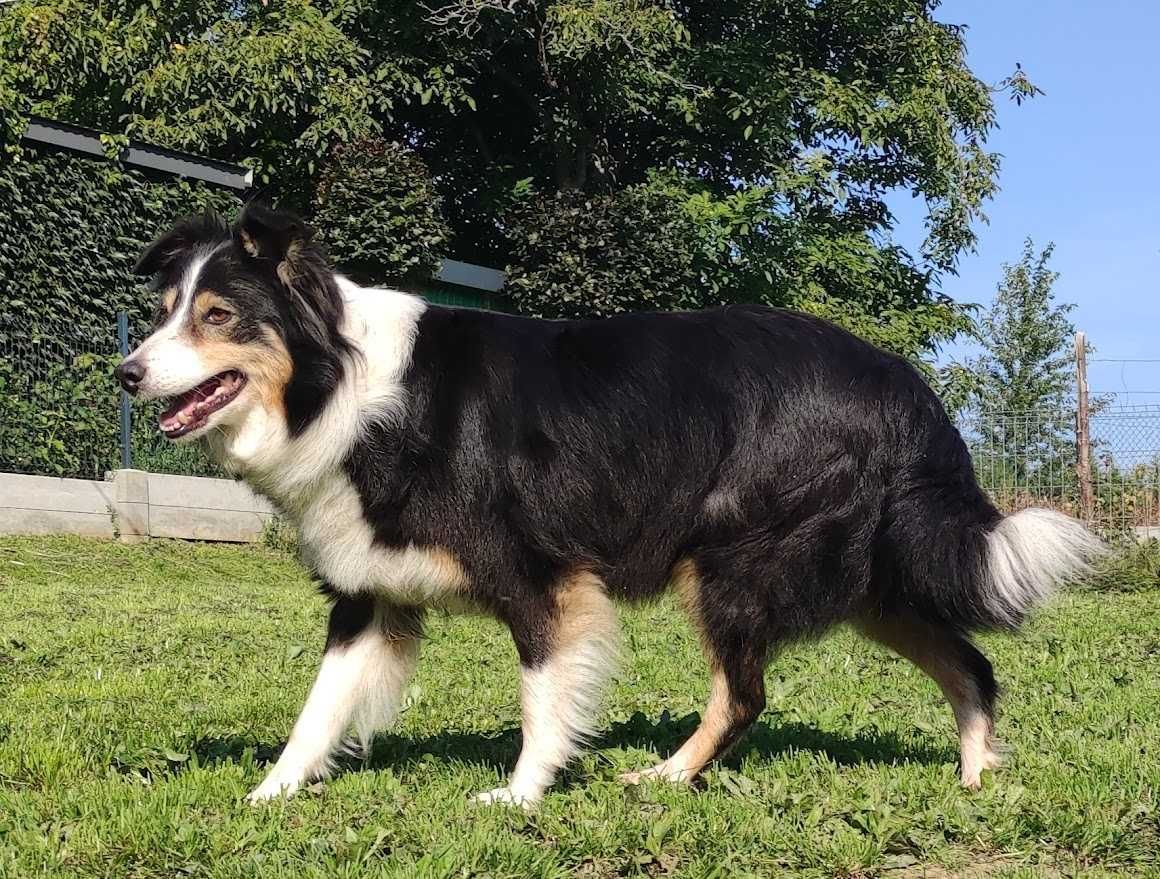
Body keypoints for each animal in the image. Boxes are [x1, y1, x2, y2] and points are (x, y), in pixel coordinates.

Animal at [117, 205, 1104, 807]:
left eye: (217, 316)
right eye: (161, 310)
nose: (126, 372)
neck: (345, 386)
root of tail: (907, 386)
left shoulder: (543, 578)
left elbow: (541, 701)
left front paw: (518, 795)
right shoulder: (368, 596)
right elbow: (317, 710)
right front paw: (269, 794)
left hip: (736, 561)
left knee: (744, 693)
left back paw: (665, 776)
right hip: (867, 578)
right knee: (969, 662)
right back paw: (976, 772)